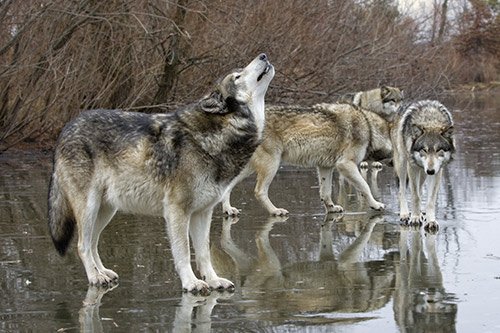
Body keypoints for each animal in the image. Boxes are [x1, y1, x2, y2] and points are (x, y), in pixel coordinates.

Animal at [48, 53, 276, 292]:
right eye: (238, 76)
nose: (263, 55)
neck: (221, 134)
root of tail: (66, 128)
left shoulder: (203, 213)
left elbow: (204, 254)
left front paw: (213, 280)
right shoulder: (177, 211)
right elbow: (183, 252)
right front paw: (191, 282)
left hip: (106, 210)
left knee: (93, 242)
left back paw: (103, 273)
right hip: (89, 207)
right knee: (82, 245)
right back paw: (94, 277)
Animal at [222, 103, 390, 215]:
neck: (369, 128)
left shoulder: (325, 167)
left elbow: (325, 192)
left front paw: (331, 208)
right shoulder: (345, 165)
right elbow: (365, 187)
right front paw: (376, 204)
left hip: (248, 168)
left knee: (227, 187)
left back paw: (228, 210)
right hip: (271, 165)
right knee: (259, 191)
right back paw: (276, 211)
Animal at [390, 99, 458, 231]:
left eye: (438, 150)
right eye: (424, 150)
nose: (430, 171)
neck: (430, 120)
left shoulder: (437, 171)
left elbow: (430, 200)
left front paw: (431, 220)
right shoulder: (412, 167)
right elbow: (415, 196)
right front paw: (415, 218)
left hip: (423, 173)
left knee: (420, 189)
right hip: (402, 164)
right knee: (402, 190)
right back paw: (405, 214)